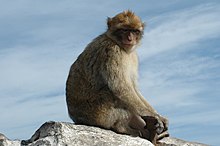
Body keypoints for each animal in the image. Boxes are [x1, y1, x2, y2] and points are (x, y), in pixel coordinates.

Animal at [65, 10, 168, 145]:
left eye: (134, 31)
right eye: (124, 30)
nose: (130, 38)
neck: (118, 44)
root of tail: (77, 119)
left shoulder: (133, 56)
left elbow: (134, 88)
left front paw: (158, 115)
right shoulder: (112, 51)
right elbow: (121, 88)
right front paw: (155, 116)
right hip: (98, 114)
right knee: (112, 94)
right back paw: (123, 127)